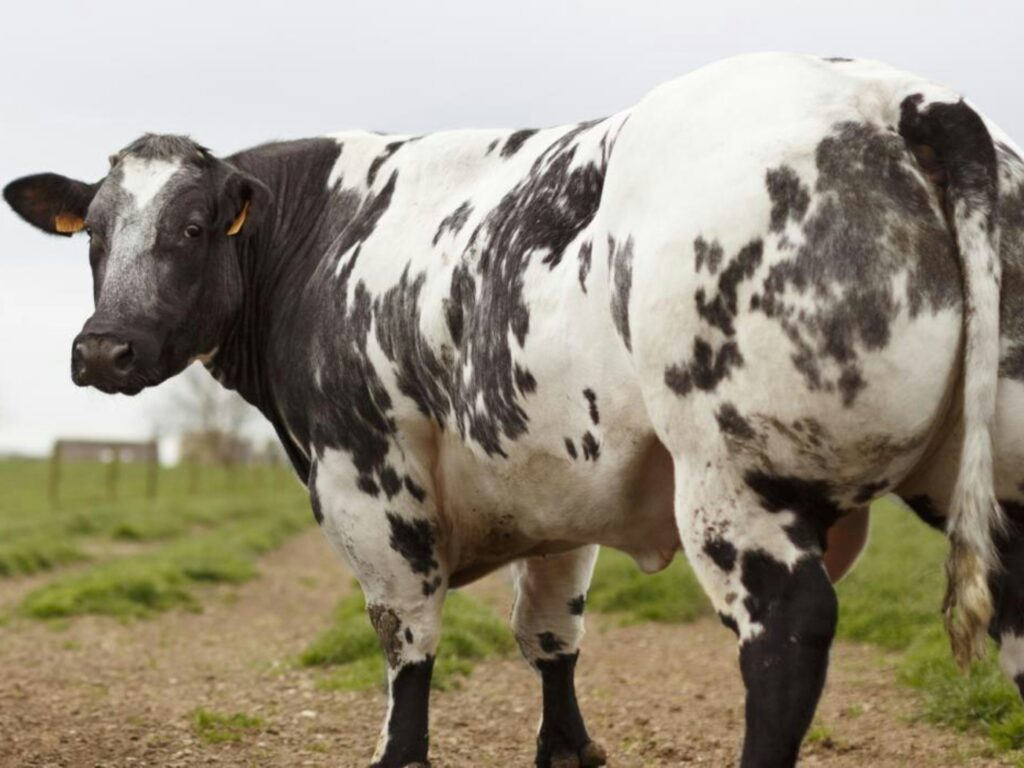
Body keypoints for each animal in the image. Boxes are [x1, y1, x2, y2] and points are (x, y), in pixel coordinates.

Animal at [4, 51, 1019, 765]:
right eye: (92, 236)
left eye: (190, 228)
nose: (102, 349)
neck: (322, 236)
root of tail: (904, 98)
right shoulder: (556, 483)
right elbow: (549, 634)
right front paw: (566, 749)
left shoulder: (368, 477)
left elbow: (407, 639)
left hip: (737, 480)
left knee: (786, 638)